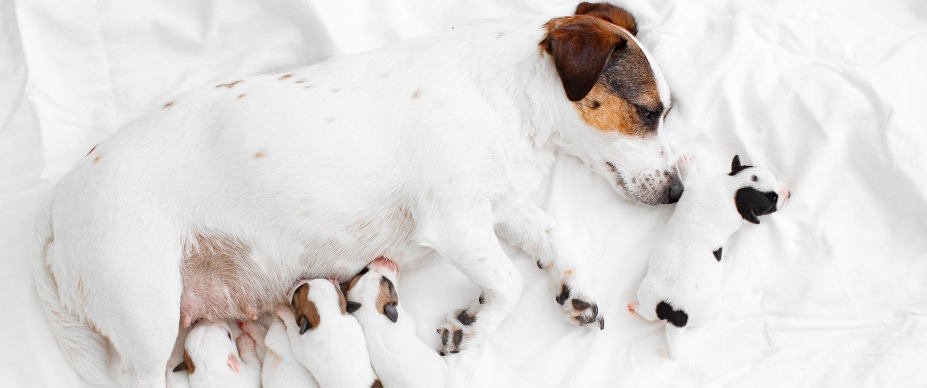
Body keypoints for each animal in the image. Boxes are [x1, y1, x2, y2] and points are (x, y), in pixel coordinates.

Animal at [632, 154, 792, 358]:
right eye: (772, 202)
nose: (789, 193)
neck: (733, 190)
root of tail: (678, 314)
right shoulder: (697, 187)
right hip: (654, 294)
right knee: (648, 314)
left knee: (648, 315)